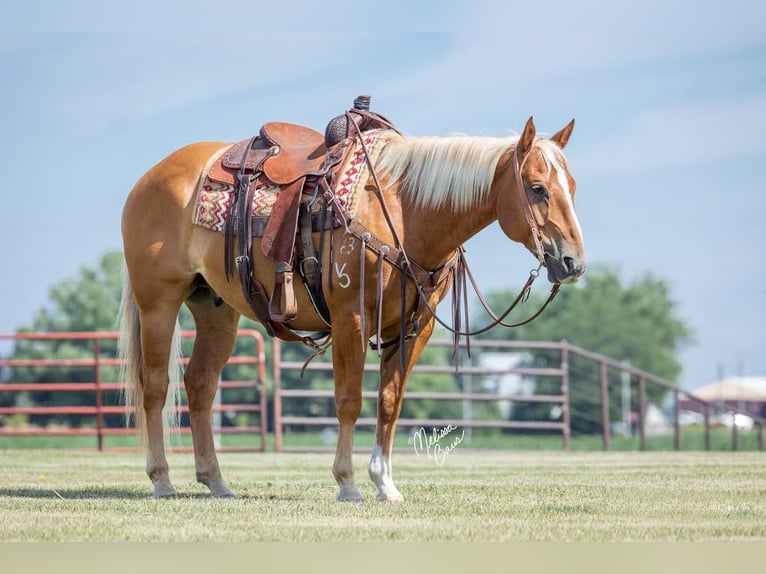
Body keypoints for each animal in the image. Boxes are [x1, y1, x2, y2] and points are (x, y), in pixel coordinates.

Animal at [118, 115, 588, 502]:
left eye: (572, 188)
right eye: (537, 188)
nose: (573, 263)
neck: (403, 210)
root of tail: (147, 179)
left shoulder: (414, 328)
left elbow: (389, 402)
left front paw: (385, 484)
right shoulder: (352, 319)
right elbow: (349, 401)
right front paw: (347, 483)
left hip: (216, 310)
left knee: (199, 385)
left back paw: (215, 481)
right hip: (158, 302)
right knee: (156, 386)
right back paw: (162, 479)